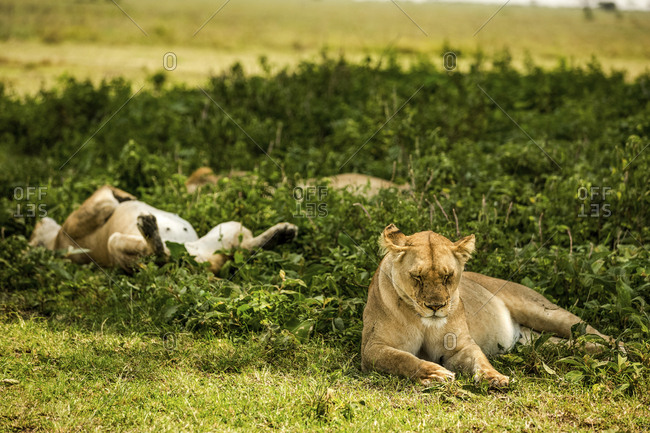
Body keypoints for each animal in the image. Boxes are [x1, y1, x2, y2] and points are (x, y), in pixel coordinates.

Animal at [29, 185, 297, 273]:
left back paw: (282, 233)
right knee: (160, 256)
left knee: (244, 250)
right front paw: (123, 196)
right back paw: (149, 229)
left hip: (229, 228)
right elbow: (105, 193)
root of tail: (199, 263)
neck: (56, 242)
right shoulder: (79, 220)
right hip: (115, 242)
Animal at [361, 224, 618, 387]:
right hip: (535, 342)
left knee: (597, 334)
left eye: (448, 276)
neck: (423, 321)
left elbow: (480, 359)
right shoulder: (372, 347)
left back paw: (620, 350)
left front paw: (495, 377)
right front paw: (434, 373)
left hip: (544, 311)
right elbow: (402, 359)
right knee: (571, 345)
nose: (436, 306)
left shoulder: (459, 346)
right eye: (417, 277)